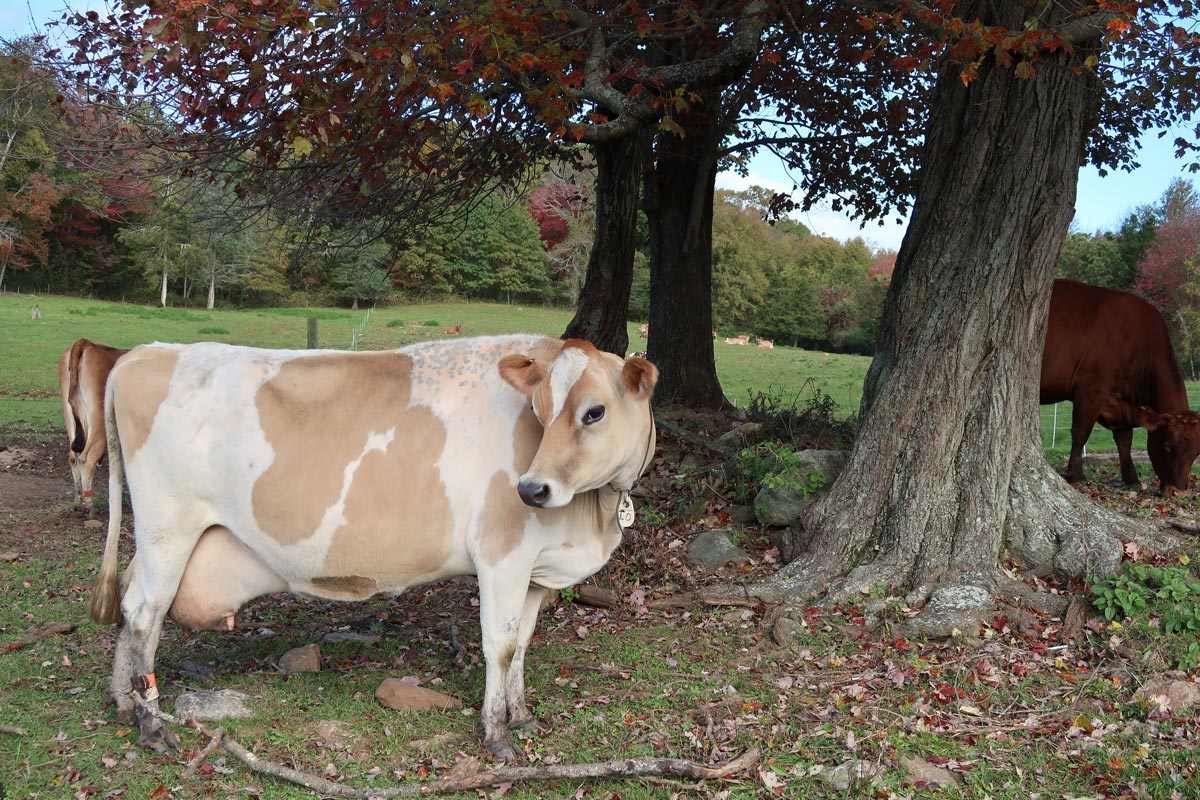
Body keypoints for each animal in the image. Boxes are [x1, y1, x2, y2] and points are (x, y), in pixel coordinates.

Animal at [57, 339, 129, 514]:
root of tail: (87, 344)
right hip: (98, 420)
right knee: (86, 458)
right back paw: (88, 506)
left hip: (70, 416)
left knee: (73, 457)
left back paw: (78, 501)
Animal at [90, 335, 657, 759]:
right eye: (539, 411)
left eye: (594, 412)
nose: (531, 489)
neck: (592, 518)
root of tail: (144, 353)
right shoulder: (502, 555)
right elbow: (499, 644)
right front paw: (496, 734)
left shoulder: (538, 569)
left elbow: (521, 645)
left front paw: (520, 716)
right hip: (168, 526)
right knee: (143, 613)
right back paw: (152, 726)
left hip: (159, 539)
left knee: (127, 599)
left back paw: (123, 702)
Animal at [1041, 279, 1200, 495]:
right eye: (1168, 446)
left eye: (1196, 453)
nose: (1179, 492)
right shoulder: (1091, 391)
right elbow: (1081, 433)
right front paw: (1076, 475)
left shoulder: (1120, 404)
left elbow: (1125, 440)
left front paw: (1132, 479)